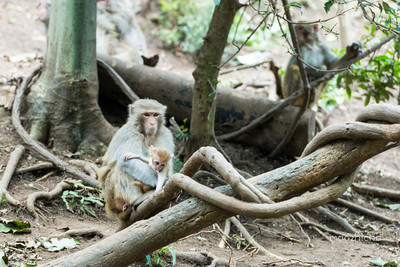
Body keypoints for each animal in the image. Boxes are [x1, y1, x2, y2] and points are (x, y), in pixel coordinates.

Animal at [99, 99, 174, 229]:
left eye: (155, 115)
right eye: (146, 115)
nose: (152, 123)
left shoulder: (165, 134)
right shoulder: (130, 134)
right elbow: (127, 161)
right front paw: (159, 182)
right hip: (111, 196)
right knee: (120, 169)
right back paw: (137, 200)